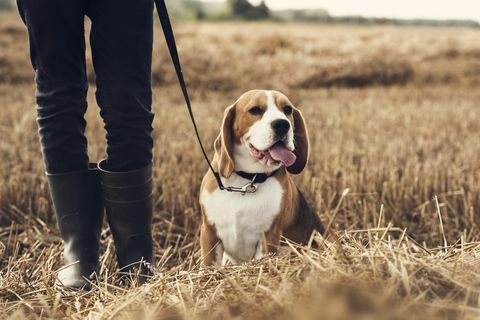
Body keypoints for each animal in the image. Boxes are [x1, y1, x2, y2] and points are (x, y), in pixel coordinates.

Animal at [197, 89, 324, 264]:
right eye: (255, 110)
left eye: (287, 109)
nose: (282, 124)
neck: (247, 179)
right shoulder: (209, 233)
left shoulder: (268, 237)